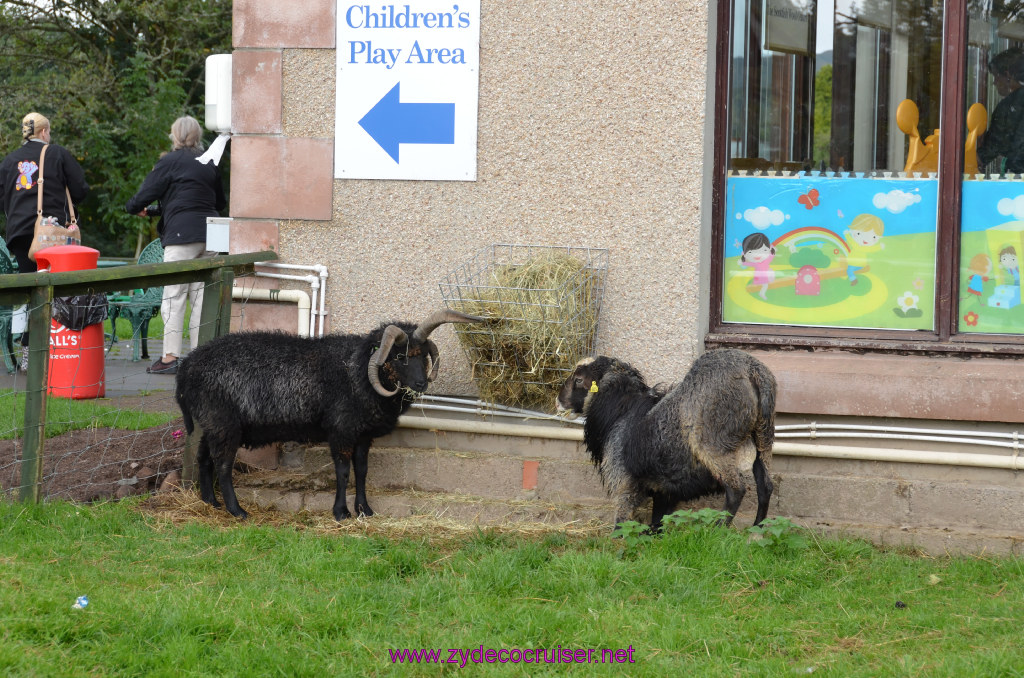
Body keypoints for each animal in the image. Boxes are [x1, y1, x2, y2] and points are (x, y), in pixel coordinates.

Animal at [176, 311, 483, 522]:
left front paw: (365, 510)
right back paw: (236, 510)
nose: (421, 384)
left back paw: (210, 502)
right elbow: (343, 471)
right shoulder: (341, 430)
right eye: (399, 357)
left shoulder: (363, 434)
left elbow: (362, 471)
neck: (358, 371)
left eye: (423, 356)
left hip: (212, 423)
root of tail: (188, 365)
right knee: (223, 464)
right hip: (223, 423)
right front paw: (341, 512)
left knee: (204, 458)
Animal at [561, 350, 774, 532]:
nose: (559, 401)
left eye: (579, 379)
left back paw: (717, 530)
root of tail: (751, 371)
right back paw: (757, 529)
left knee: (736, 489)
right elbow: (659, 519)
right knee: (765, 486)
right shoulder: (664, 489)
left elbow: (622, 520)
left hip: (714, 445)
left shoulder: (622, 478)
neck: (621, 411)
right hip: (764, 437)